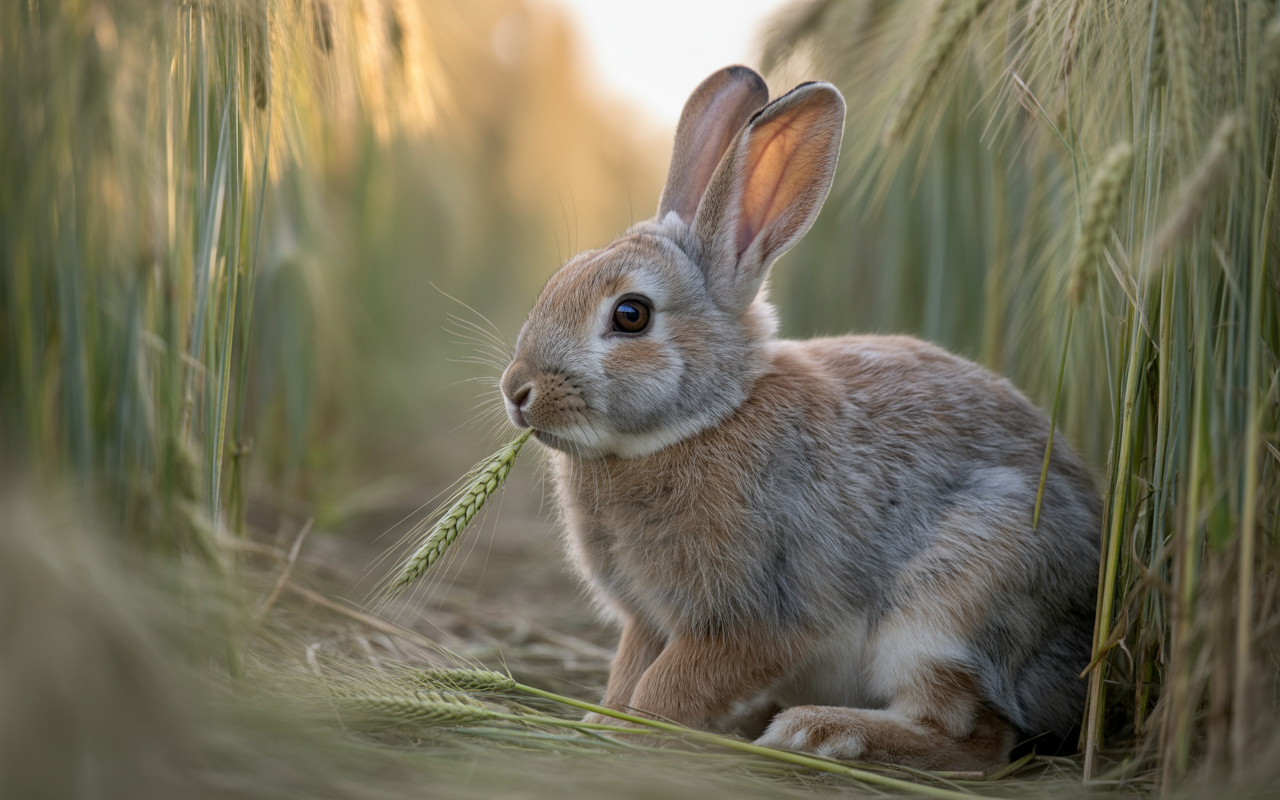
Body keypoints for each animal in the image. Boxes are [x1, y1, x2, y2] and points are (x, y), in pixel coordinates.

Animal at [499, 65, 1101, 772]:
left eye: (631, 315)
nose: (517, 391)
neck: (704, 419)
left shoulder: (752, 617)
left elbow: (669, 686)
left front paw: (627, 741)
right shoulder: (647, 620)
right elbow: (629, 673)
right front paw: (595, 725)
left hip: (953, 601)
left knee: (972, 737)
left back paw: (815, 730)